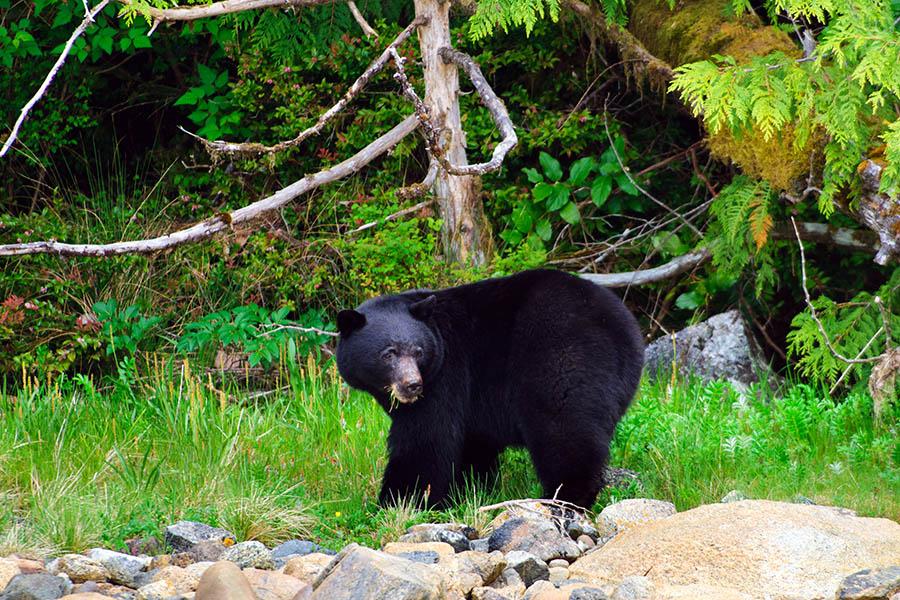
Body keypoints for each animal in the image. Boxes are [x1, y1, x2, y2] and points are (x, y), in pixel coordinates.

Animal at [335, 268, 644, 510]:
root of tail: (622, 326)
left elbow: (426, 439)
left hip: (561, 355)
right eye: (388, 354)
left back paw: (564, 497)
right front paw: (469, 491)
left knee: (564, 427)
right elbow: (473, 445)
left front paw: (398, 501)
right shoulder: (474, 401)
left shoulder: (446, 377)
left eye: (418, 351)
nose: (413, 385)